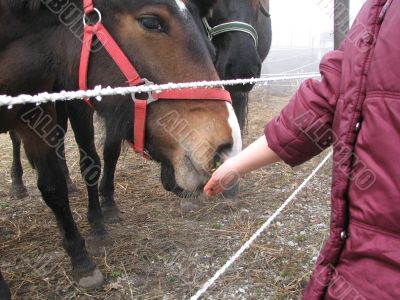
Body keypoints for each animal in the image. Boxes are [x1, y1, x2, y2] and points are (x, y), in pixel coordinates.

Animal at [0, 0, 241, 296]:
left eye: (212, 49)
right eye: (151, 22)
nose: (228, 147)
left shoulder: (37, 112)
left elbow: (54, 186)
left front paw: (81, 257)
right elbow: (86, 164)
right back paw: (17, 183)